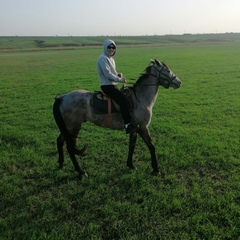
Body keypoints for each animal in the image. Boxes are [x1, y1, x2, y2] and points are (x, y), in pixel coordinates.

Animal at [52, 58, 180, 177]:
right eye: (167, 70)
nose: (179, 82)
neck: (140, 99)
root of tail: (61, 98)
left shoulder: (134, 129)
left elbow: (132, 146)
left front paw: (131, 165)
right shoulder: (143, 128)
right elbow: (151, 146)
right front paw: (156, 169)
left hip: (67, 128)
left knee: (60, 141)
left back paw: (61, 163)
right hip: (73, 127)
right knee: (70, 147)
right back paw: (81, 171)